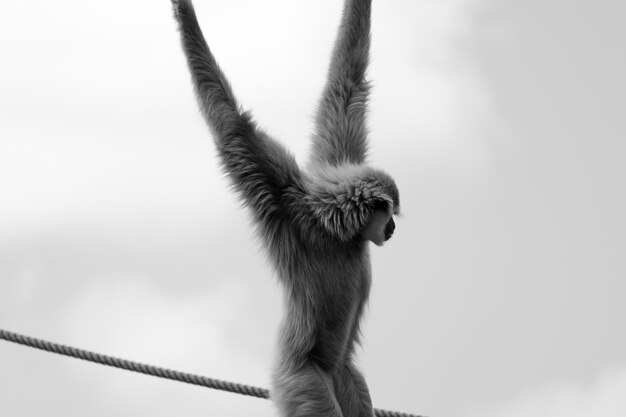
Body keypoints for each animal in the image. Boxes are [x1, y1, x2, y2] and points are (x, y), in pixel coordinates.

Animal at [168, 0, 398, 416]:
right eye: (390, 216)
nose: (392, 228)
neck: (340, 233)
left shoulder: (326, 172)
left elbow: (347, 84)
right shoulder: (285, 198)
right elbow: (235, 131)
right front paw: (184, 12)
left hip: (343, 376)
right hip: (300, 379)